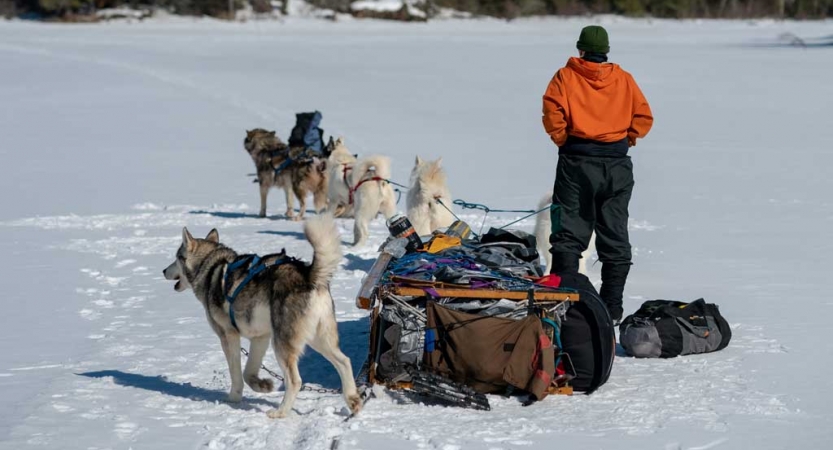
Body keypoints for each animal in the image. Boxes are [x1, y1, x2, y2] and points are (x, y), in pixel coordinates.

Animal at [161, 214, 360, 418]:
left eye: (176, 258)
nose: (163, 271)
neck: (209, 268)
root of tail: (309, 276)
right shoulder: (260, 337)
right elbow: (248, 372)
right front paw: (263, 386)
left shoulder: (228, 336)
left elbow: (236, 374)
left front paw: (233, 399)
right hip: (318, 339)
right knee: (344, 362)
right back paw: (353, 400)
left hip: (282, 344)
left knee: (295, 380)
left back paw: (280, 412)